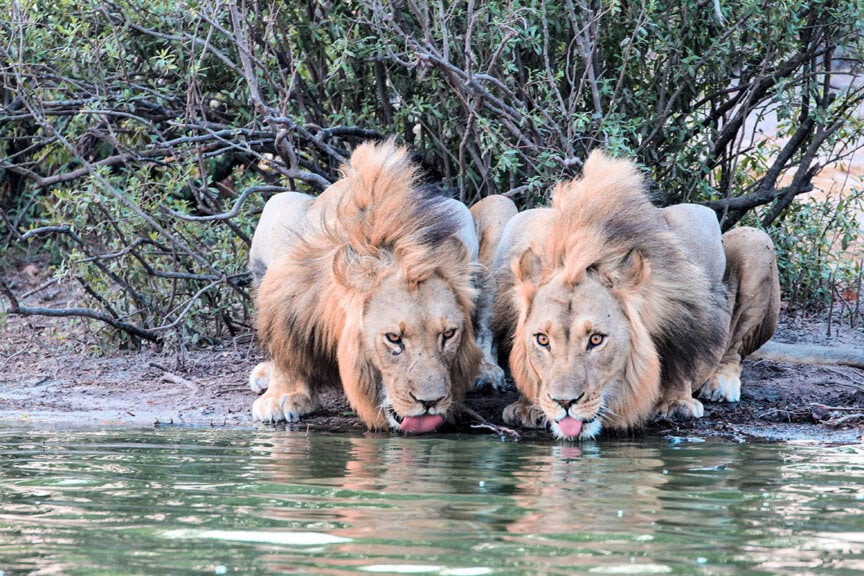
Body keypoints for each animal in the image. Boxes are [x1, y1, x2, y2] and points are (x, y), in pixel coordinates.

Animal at [247, 139, 507, 433]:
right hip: (278, 203)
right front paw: (281, 395)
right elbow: (284, 341)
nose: (430, 402)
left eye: (448, 334)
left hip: (492, 207)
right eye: (393, 338)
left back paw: (485, 372)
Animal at [487, 150, 780, 440]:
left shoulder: (696, 232)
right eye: (542, 339)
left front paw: (676, 402)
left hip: (755, 240)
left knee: (733, 349)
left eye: (596, 339)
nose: (564, 402)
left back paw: (722, 383)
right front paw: (528, 406)